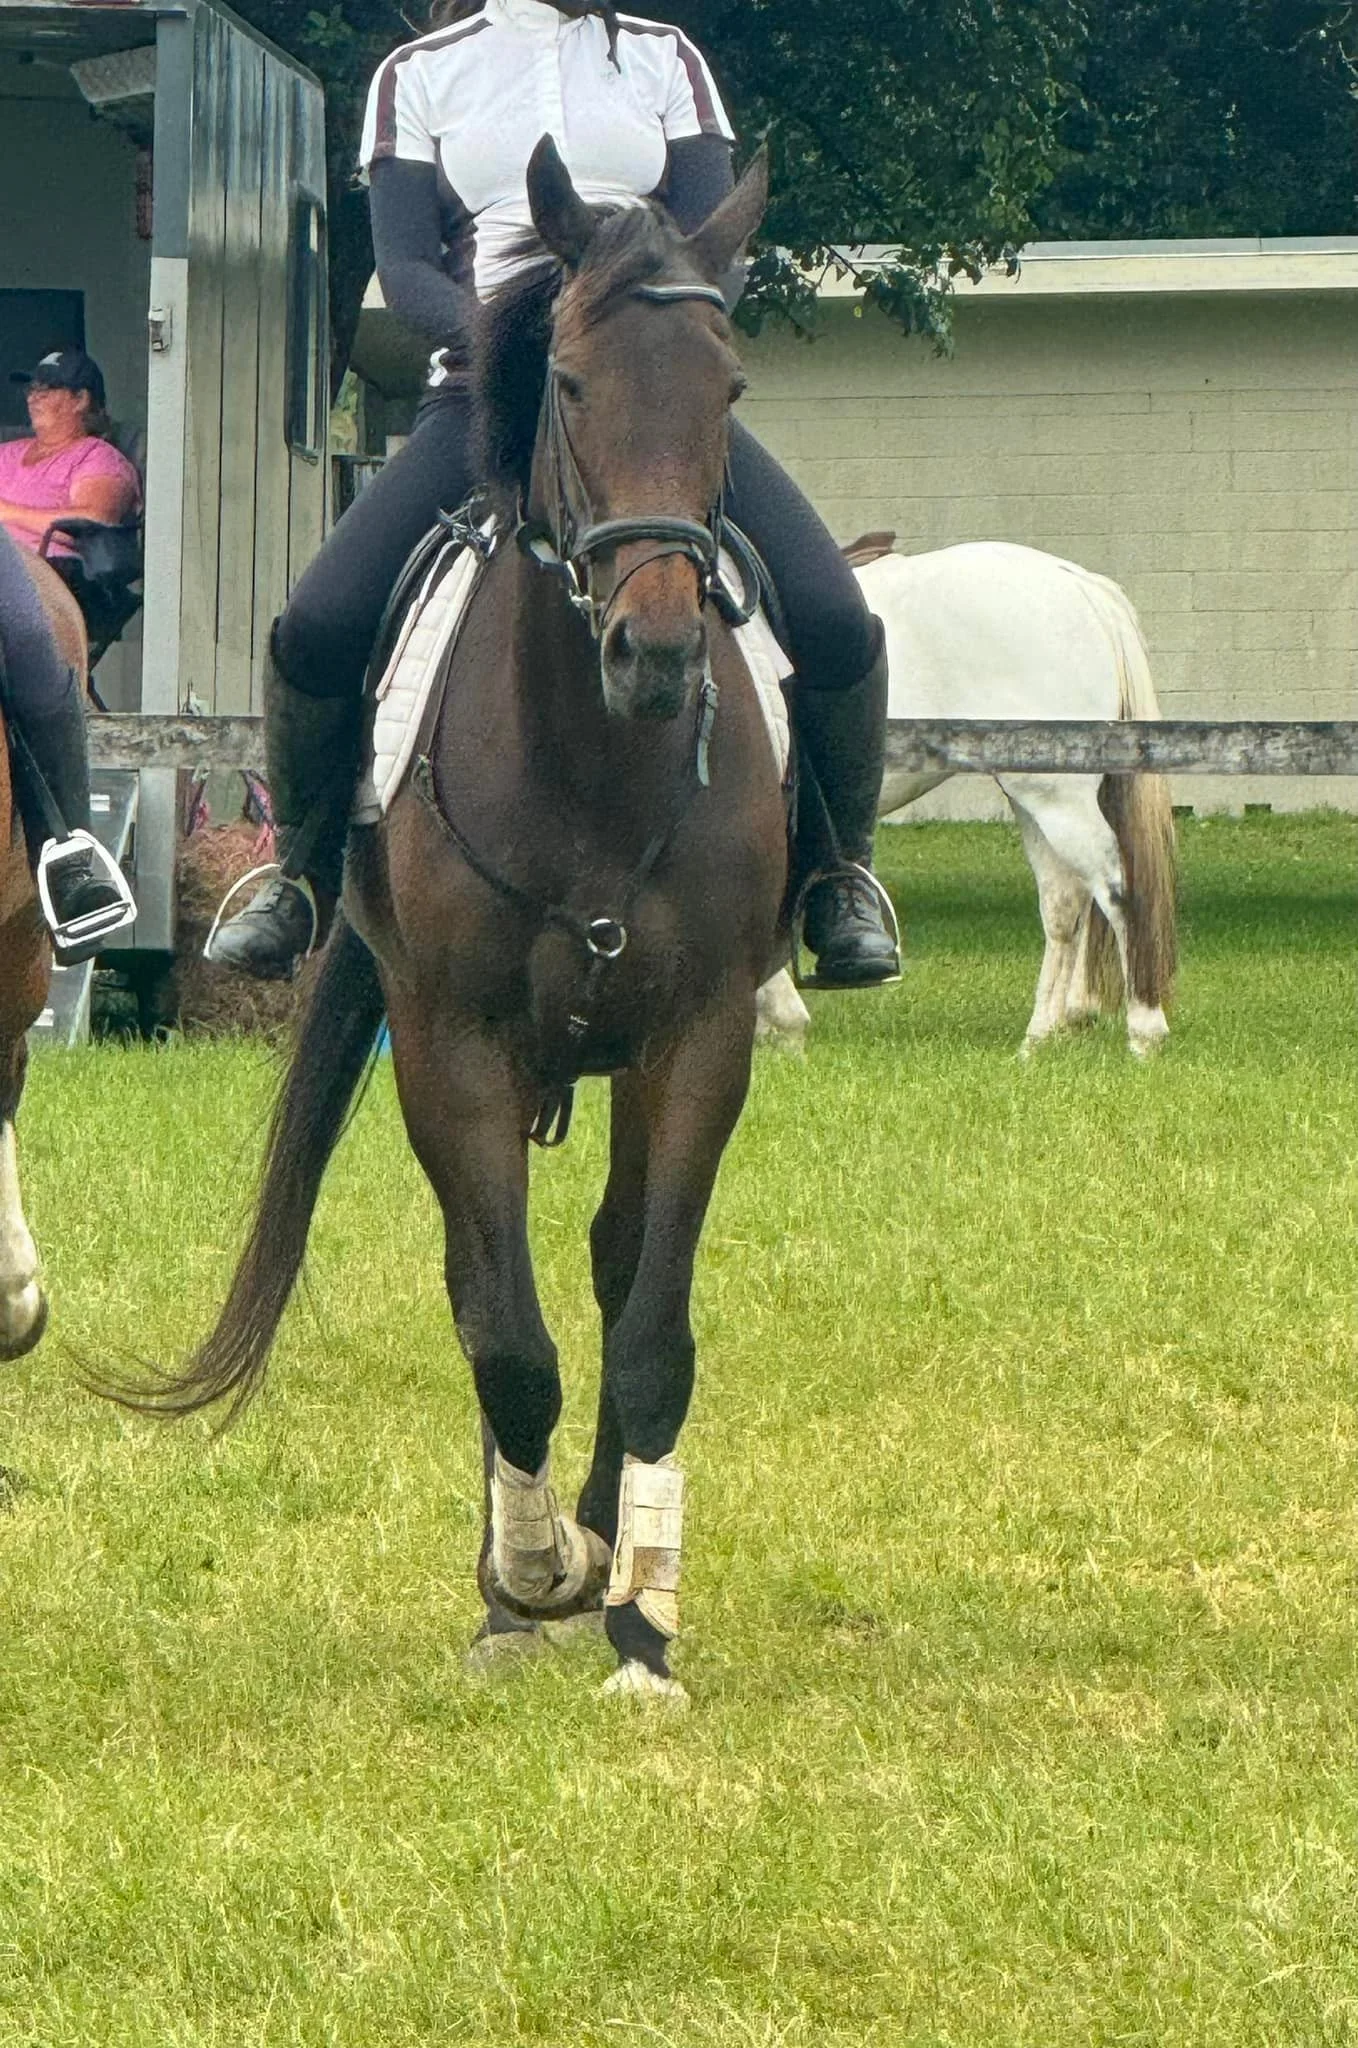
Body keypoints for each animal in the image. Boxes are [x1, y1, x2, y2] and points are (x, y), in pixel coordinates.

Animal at [116, 145, 785, 1701]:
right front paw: (528, 1574)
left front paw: (639, 1621)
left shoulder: (698, 1042)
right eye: (574, 384)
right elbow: (502, 1331)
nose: (658, 650)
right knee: (493, 1284)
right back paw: (516, 1583)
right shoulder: (452, 1049)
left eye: (725, 386)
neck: (596, 763)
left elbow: (649, 1331)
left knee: (602, 1266)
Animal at [757, 540, 1177, 1058]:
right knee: (1064, 901)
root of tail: (1076, 582)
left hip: (1057, 798)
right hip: (1037, 797)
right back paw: (1040, 1036)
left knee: (1114, 887)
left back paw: (1143, 1029)